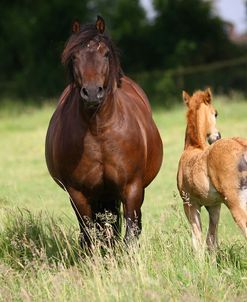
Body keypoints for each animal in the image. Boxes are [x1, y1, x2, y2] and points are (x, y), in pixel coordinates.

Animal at [45, 16, 163, 247]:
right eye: (74, 56)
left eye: (106, 53)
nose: (92, 93)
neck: (98, 131)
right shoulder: (78, 194)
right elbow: (89, 234)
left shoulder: (132, 188)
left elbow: (131, 233)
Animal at [177, 88, 247, 249]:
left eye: (216, 113)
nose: (216, 136)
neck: (193, 147)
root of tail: (242, 146)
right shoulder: (215, 206)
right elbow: (211, 240)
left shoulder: (189, 204)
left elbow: (197, 240)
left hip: (236, 202)